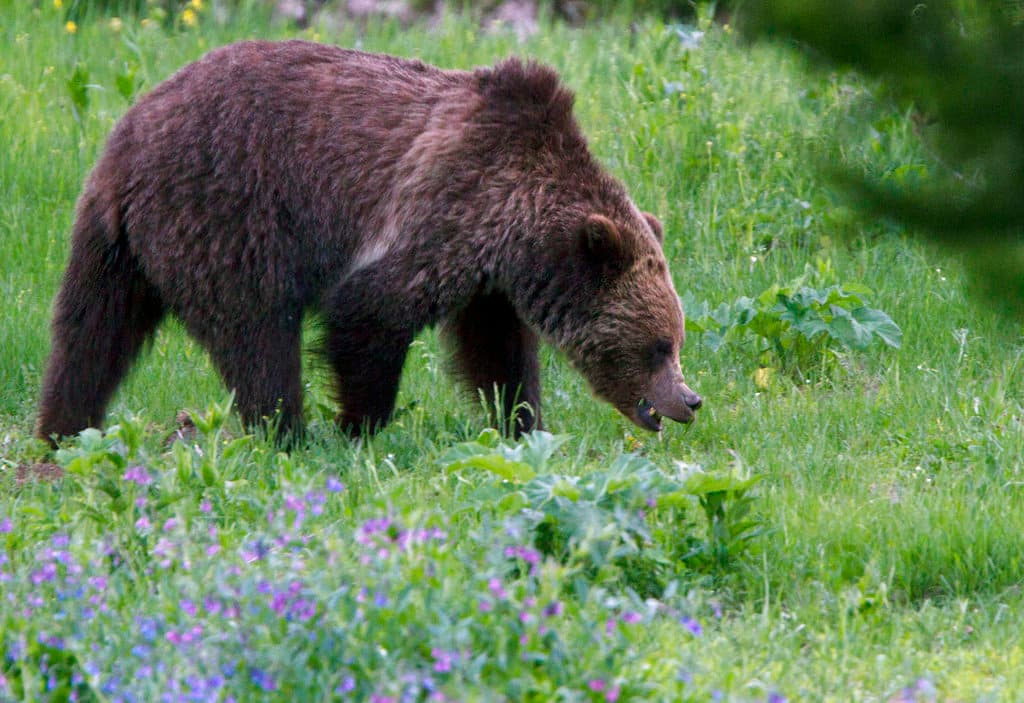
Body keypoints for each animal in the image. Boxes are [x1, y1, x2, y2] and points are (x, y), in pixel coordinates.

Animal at [36, 40, 702, 446]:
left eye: (674, 339)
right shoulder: (444, 205)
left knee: (90, 334)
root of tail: (128, 141)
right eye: (658, 346)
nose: (689, 399)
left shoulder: (487, 276)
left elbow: (496, 350)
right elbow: (369, 311)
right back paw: (287, 432)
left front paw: (521, 422)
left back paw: (62, 430)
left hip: (116, 246)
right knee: (258, 335)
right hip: (226, 214)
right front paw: (361, 426)